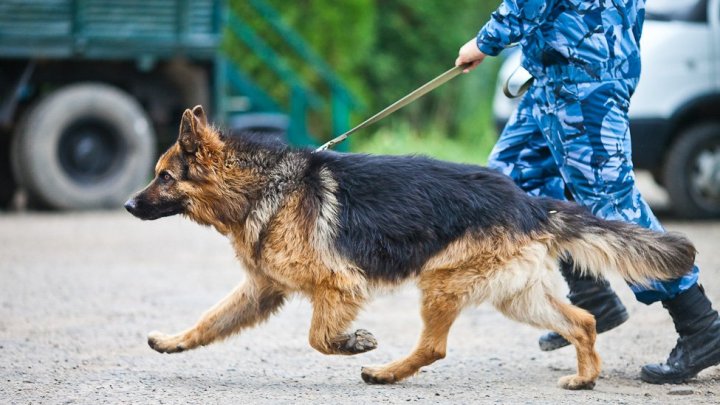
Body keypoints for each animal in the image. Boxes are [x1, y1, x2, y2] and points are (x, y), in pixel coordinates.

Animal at [125, 105, 696, 390]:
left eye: (163, 177)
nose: (128, 206)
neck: (262, 187)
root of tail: (529, 202)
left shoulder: (338, 286)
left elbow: (318, 337)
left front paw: (355, 343)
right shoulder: (263, 290)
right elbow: (209, 320)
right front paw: (173, 342)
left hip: (442, 281)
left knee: (435, 347)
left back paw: (384, 371)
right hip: (515, 296)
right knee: (582, 321)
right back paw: (585, 379)